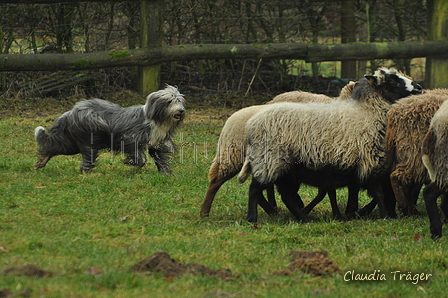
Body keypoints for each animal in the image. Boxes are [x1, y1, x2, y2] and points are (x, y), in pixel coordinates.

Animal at [34, 84, 186, 173]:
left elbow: (160, 159)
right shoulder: (129, 139)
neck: (156, 120)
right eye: (169, 101)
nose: (181, 111)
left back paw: (41, 163)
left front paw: (165, 174)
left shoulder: (156, 144)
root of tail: (69, 113)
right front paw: (128, 162)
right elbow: (141, 158)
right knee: (86, 160)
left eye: (179, 101)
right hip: (88, 140)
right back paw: (87, 173)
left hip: (72, 144)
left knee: (54, 148)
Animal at [200, 82, 356, 218]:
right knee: (216, 181)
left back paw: (273, 209)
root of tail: (230, 119)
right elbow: (329, 191)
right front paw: (335, 213)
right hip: (235, 154)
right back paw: (204, 212)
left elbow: (332, 190)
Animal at [240, 68, 422, 224]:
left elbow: (362, 191)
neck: (369, 112)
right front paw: (383, 215)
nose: (419, 88)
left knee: (286, 196)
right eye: (392, 80)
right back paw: (252, 218)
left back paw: (304, 219)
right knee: (255, 189)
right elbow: (378, 192)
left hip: (287, 168)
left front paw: (353, 213)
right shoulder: (371, 160)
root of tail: (251, 125)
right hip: (270, 160)